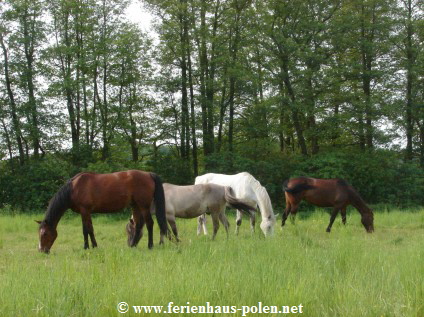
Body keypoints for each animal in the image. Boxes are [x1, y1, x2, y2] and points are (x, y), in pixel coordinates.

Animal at [36, 169, 168, 253]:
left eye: (45, 234)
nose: (42, 250)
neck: (74, 189)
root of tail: (149, 174)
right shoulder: (85, 213)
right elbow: (89, 230)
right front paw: (92, 246)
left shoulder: (85, 211)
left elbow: (86, 230)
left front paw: (88, 247)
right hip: (135, 206)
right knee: (139, 225)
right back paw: (133, 245)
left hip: (143, 206)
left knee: (150, 224)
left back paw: (150, 246)